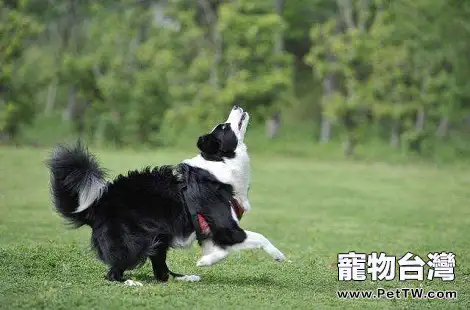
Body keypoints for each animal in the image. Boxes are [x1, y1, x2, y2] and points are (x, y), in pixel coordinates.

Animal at [47, 106, 284, 286]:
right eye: (224, 127)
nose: (236, 106)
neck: (220, 164)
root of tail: (97, 205)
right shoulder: (226, 227)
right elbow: (260, 237)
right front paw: (278, 255)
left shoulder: (210, 231)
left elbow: (222, 250)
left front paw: (205, 261)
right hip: (135, 242)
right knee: (113, 273)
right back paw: (131, 282)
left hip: (158, 236)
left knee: (161, 273)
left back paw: (185, 277)